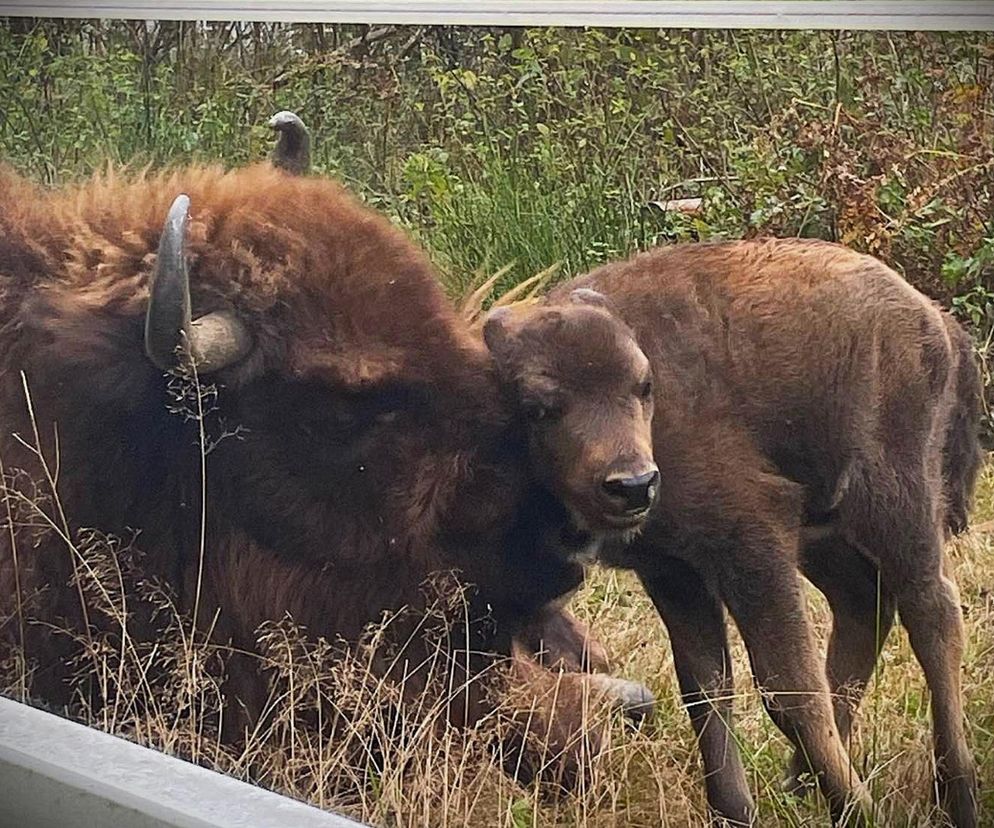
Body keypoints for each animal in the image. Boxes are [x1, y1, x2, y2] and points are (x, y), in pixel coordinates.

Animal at [484, 236, 980, 824]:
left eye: (643, 385)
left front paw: (858, 810)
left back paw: (957, 792)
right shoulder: (673, 571)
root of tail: (933, 317)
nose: (634, 484)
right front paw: (736, 810)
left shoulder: (752, 545)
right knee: (865, 605)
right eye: (540, 406)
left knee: (931, 611)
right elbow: (706, 689)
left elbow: (789, 691)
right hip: (825, 536)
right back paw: (800, 782)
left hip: (895, 500)